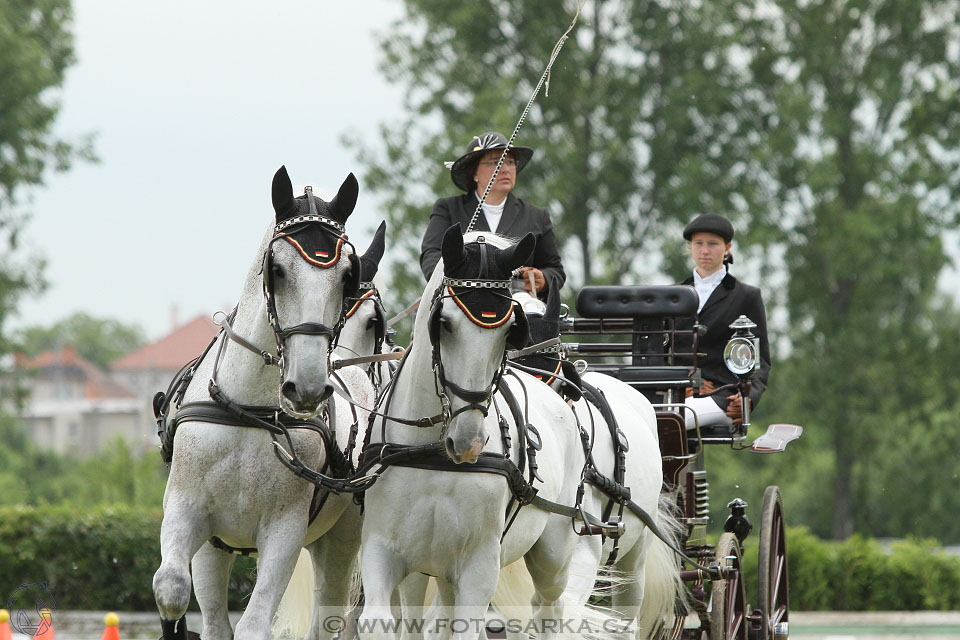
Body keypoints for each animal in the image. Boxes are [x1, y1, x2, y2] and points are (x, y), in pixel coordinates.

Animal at [150, 166, 376, 640]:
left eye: (346, 275)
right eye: (277, 270)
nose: (306, 387)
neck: (248, 412)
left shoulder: (285, 531)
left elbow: (255, 625)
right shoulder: (188, 511)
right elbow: (172, 588)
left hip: (341, 538)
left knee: (329, 615)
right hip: (215, 550)